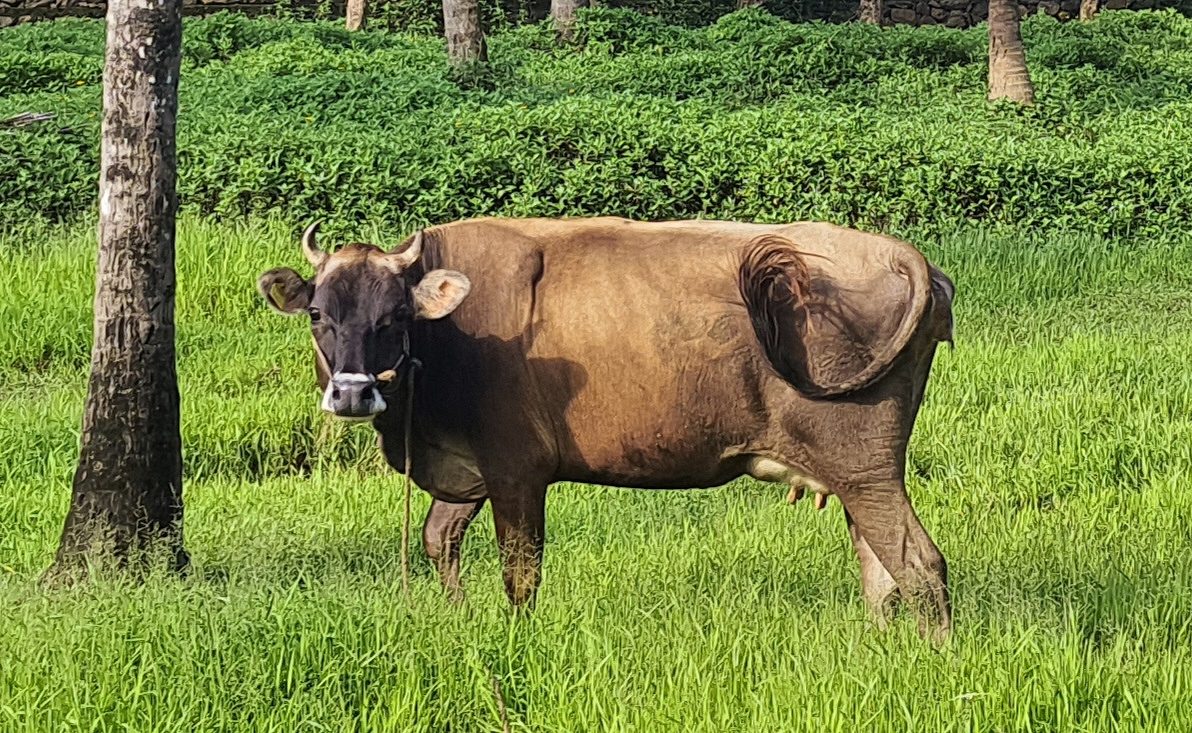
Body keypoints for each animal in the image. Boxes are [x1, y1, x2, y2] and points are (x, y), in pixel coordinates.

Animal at [257, 216, 957, 641]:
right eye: (318, 312)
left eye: (396, 314)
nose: (352, 392)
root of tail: (902, 256)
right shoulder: (467, 472)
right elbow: (438, 539)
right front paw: (457, 620)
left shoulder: (516, 469)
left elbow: (520, 572)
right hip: (855, 476)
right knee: (881, 570)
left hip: (863, 466)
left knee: (919, 563)